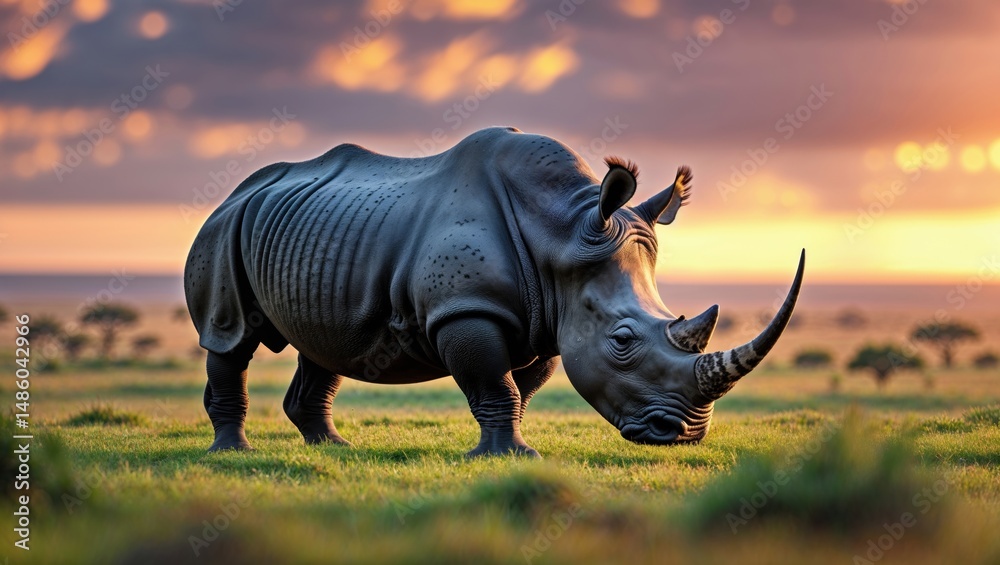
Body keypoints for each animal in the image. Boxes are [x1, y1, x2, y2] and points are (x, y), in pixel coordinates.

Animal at [185, 126, 804, 456]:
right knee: (230, 338)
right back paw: (233, 452)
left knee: (327, 344)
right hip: (224, 229)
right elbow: (493, 381)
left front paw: (508, 450)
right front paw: (510, 454)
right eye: (622, 341)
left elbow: (517, 386)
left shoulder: (545, 319)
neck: (562, 233)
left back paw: (335, 449)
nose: (680, 435)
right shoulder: (466, 310)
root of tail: (235, 192)